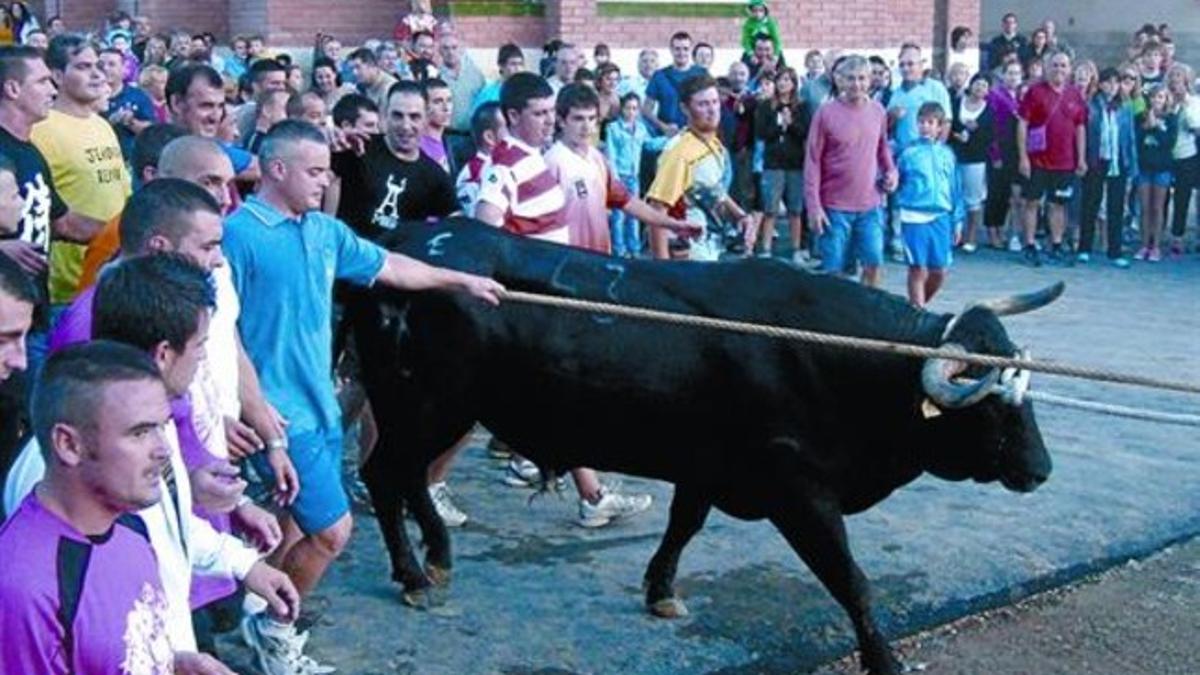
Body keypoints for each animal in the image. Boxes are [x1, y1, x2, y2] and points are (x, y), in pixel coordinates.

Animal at [350, 218, 1060, 667]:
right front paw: (885, 662)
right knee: (386, 476)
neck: (834, 354)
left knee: (407, 478)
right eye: (993, 406)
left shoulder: (708, 467)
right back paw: (413, 574)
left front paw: (660, 590)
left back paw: (437, 556)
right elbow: (852, 581)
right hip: (425, 407)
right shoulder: (799, 490)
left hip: (434, 412)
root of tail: (400, 240)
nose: (1042, 469)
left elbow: (682, 527)